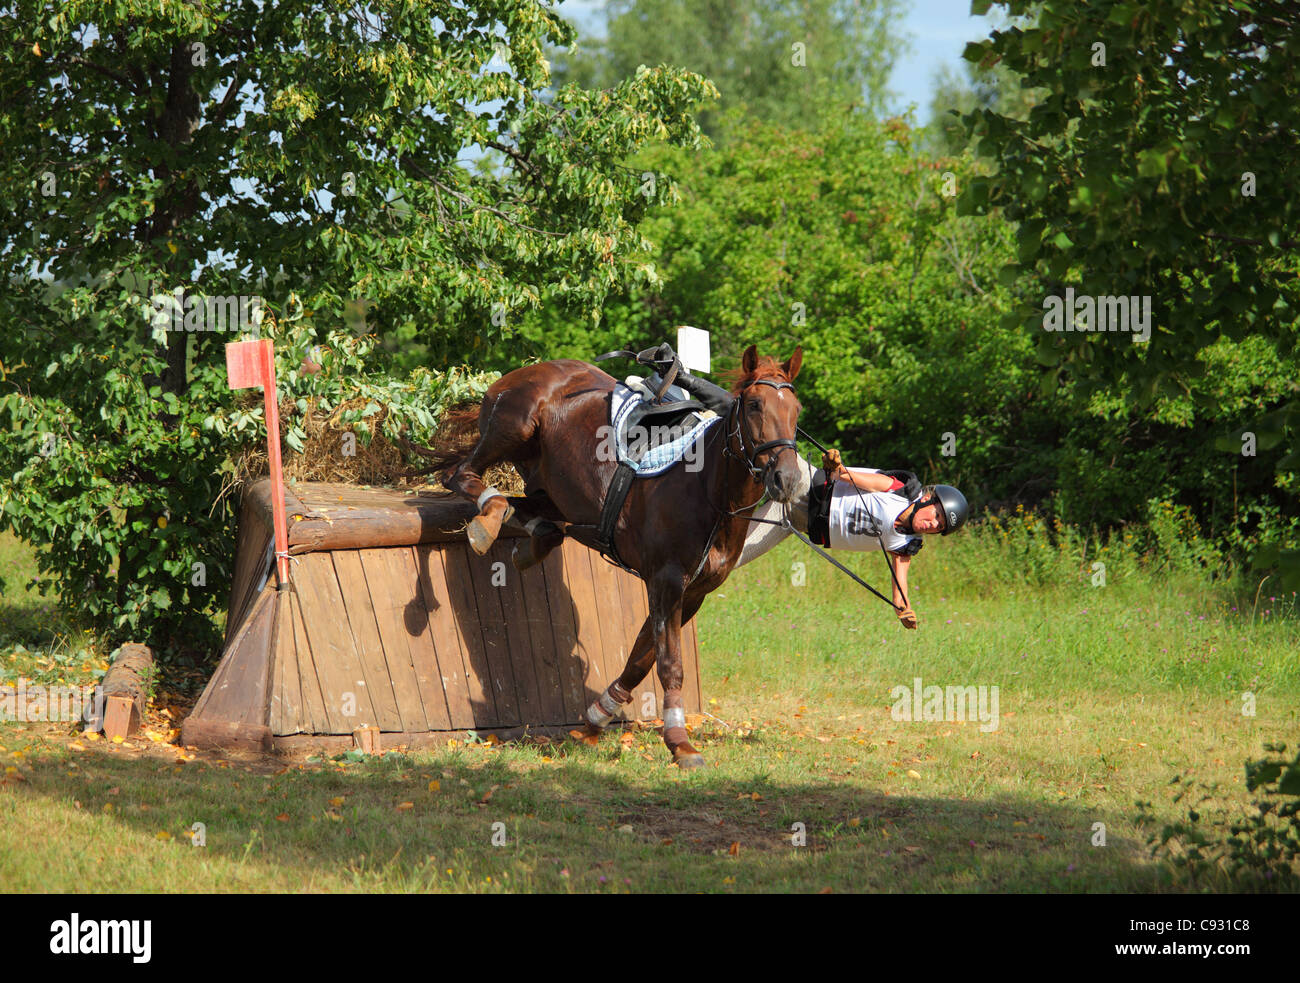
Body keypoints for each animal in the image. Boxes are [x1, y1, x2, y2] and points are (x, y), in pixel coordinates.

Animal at [436, 344, 804, 767]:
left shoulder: (692, 592)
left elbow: (640, 659)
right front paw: (679, 741)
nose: (788, 479)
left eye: (796, 409)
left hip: (552, 488)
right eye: (756, 405)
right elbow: (668, 663)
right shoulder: (665, 581)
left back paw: (532, 538)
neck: (708, 489)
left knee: (537, 516)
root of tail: (521, 372)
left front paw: (596, 720)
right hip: (514, 427)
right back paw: (488, 519)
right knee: (461, 474)